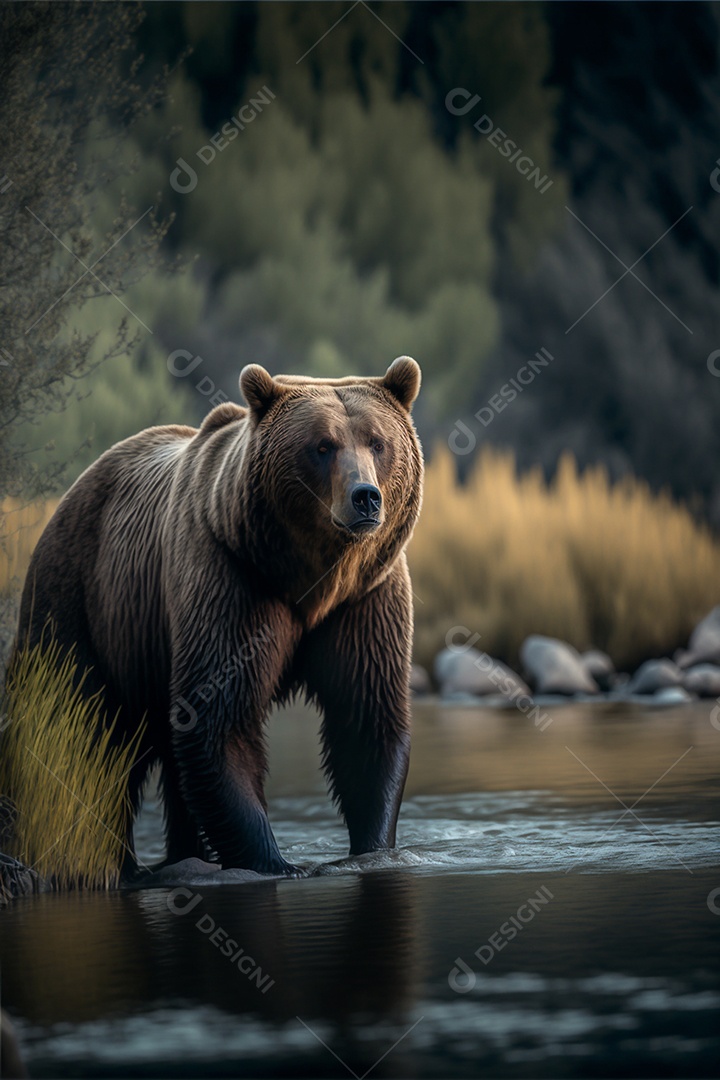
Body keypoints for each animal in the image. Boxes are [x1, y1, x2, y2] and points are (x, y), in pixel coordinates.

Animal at [12, 356, 423, 877]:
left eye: (378, 442)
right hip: (79, 603)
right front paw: (275, 861)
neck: (312, 576)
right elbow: (219, 723)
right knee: (80, 736)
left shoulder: (366, 597)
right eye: (322, 446)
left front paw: (372, 850)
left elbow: (366, 716)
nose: (365, 497)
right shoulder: (229, 577)